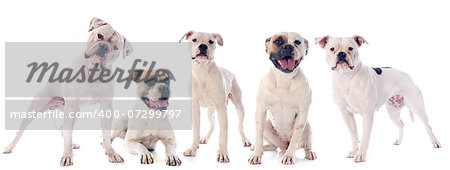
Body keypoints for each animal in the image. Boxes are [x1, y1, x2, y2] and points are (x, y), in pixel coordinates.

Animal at [248, 32, 318, 165]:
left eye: (297, 42)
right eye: (278, 41)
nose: (288, 47)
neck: (284, 79)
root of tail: (284, 145)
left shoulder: (302, 112)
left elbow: (295, 138)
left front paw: (289, 156)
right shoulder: (261, 110)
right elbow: (258, 136)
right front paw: (256, 154)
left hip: (307, 126)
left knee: (306, 144)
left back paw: (309, 152)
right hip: (267, 124)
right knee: (273, 146)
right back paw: (260, 147)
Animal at [314, 35, 442, 163]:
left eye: (350, 48)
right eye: (332, 49)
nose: (341, 53)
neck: (347, 77)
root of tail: (406, 75)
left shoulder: (367, 114)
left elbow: (364, 137)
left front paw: (361, 155)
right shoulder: (346, 114)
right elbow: (354, 135)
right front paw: (354, 152)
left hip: (417, 107)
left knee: (427, 126)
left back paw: (435, 142)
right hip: (393, 112)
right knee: (401, 124)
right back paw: (399, 141)